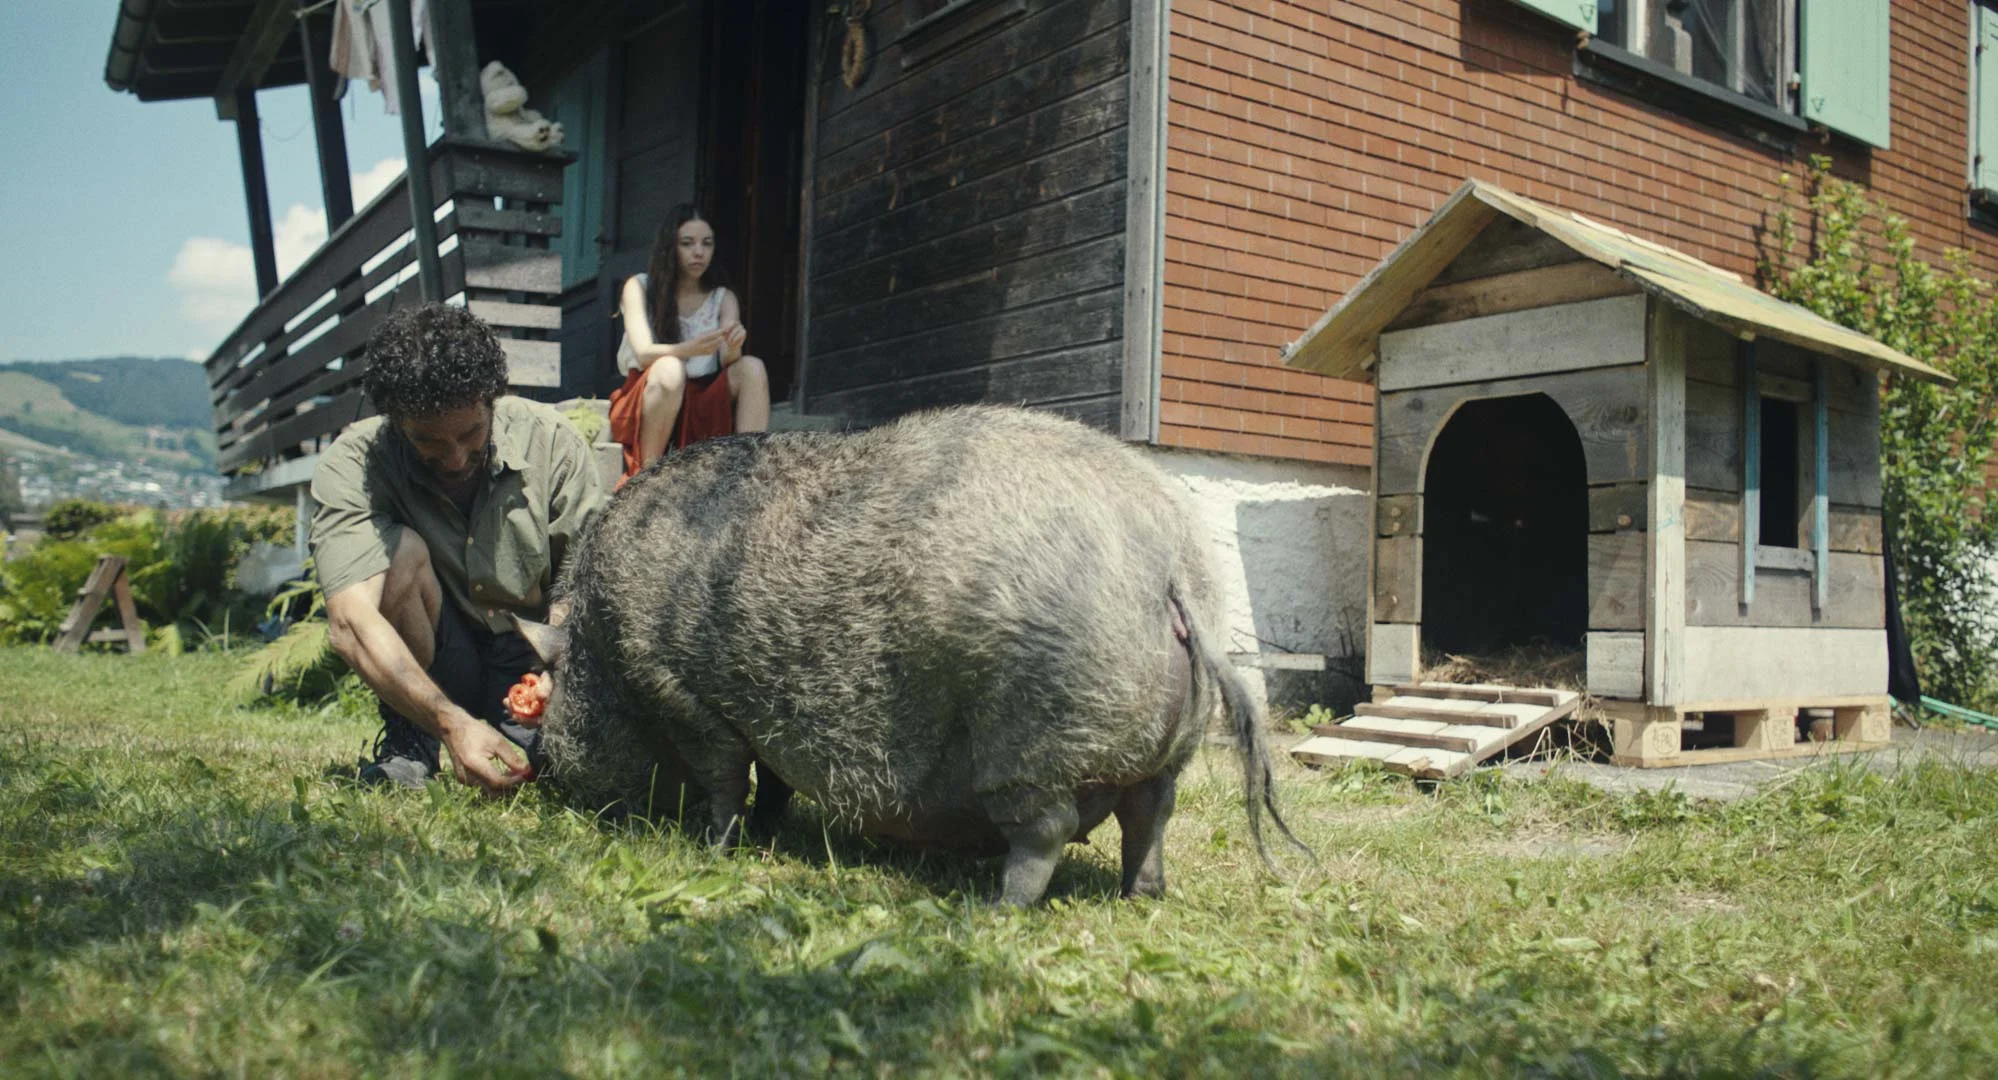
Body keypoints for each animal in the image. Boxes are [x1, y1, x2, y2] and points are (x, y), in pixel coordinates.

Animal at [516, 405, 1305, 905]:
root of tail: (1165, 563)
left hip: (1033, 738)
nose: (543, 766)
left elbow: (725, 783)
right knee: (1151, 818)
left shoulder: (683, 692)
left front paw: (715, 850)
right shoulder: (756, 720)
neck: (602, 647)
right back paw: (1143, 898)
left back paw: (994, 911)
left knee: (1046, 833)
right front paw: (770, 834)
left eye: (553, 690)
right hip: (1165, 750)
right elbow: (772, 782)